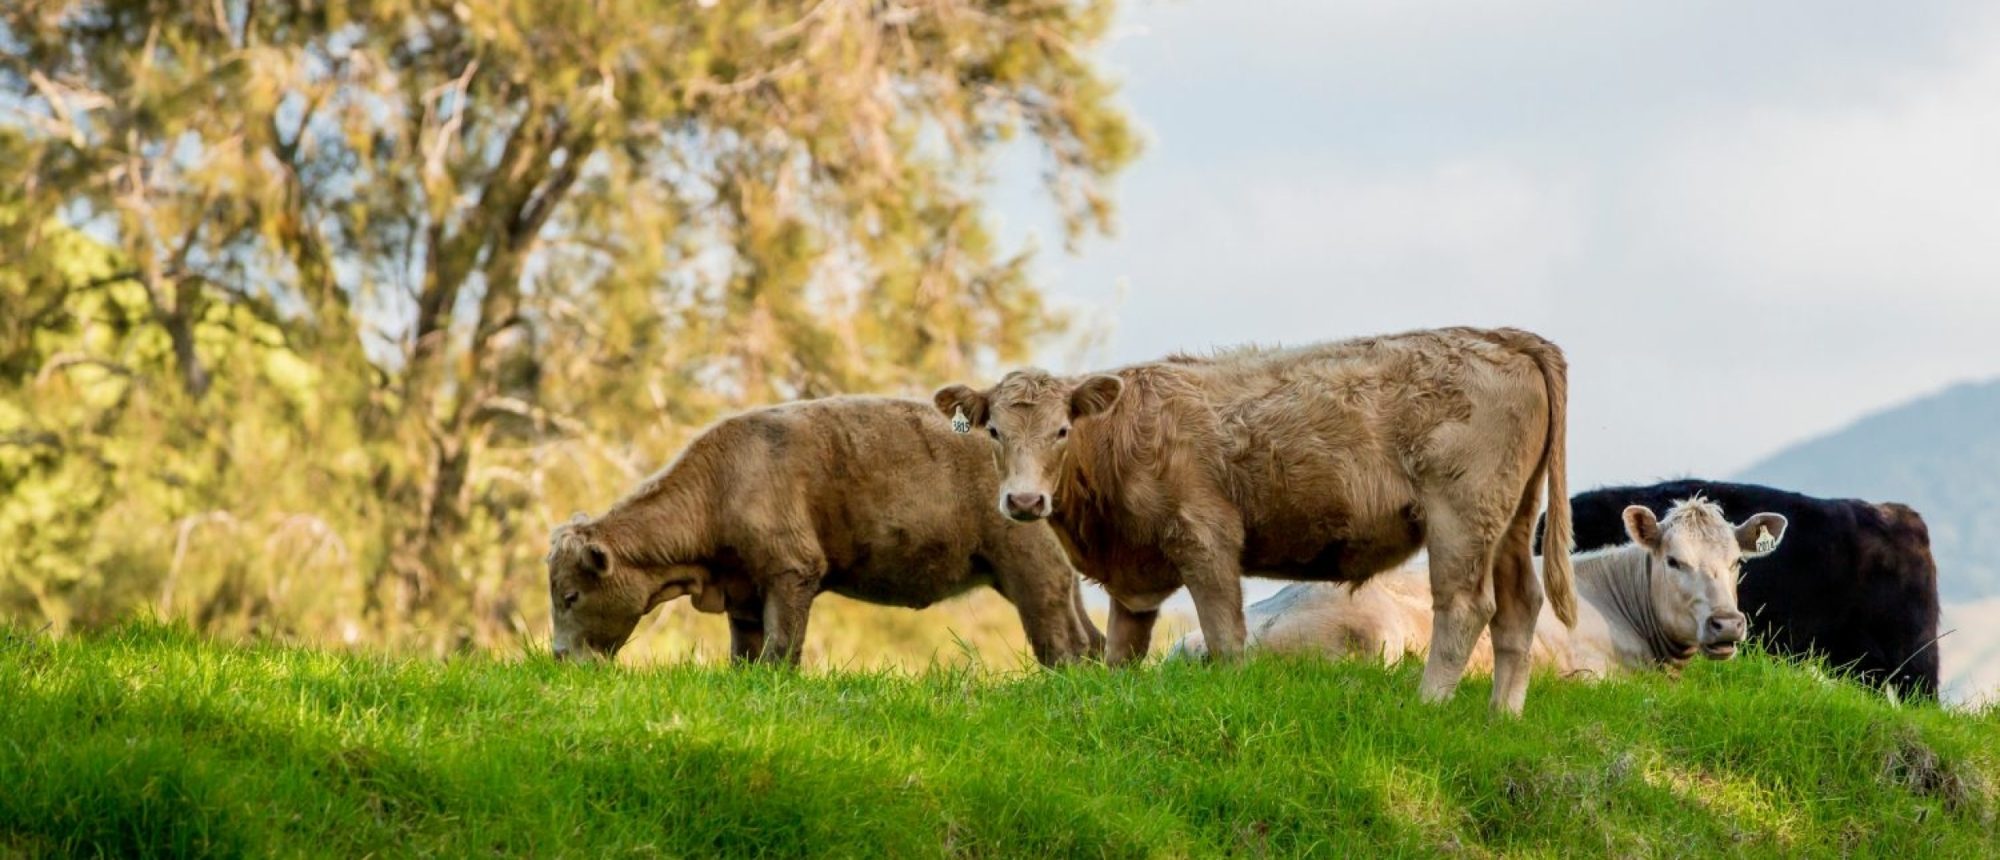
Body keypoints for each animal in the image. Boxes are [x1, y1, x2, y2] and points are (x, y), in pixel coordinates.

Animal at [546, 396, 1104, 667]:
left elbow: (780, 651)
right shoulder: (744, 590)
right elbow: (746, 655)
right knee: (1093, 642)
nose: (558, 656)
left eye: (570, 596)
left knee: (1064, 644)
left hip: (1030, 567)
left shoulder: (792, 571)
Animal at [936, 327, 1578, 714]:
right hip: (1514, 517)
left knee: (1466, 606)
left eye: (1062, 430)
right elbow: (1123, 650)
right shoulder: (1134, 571)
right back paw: (1501, 717)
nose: (1024, 502)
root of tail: (1501, 337)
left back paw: (1429, 705)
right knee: (1519, 606)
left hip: (1462, 514)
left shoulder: (1205, 537)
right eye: (994, 431)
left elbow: (1225, 637)